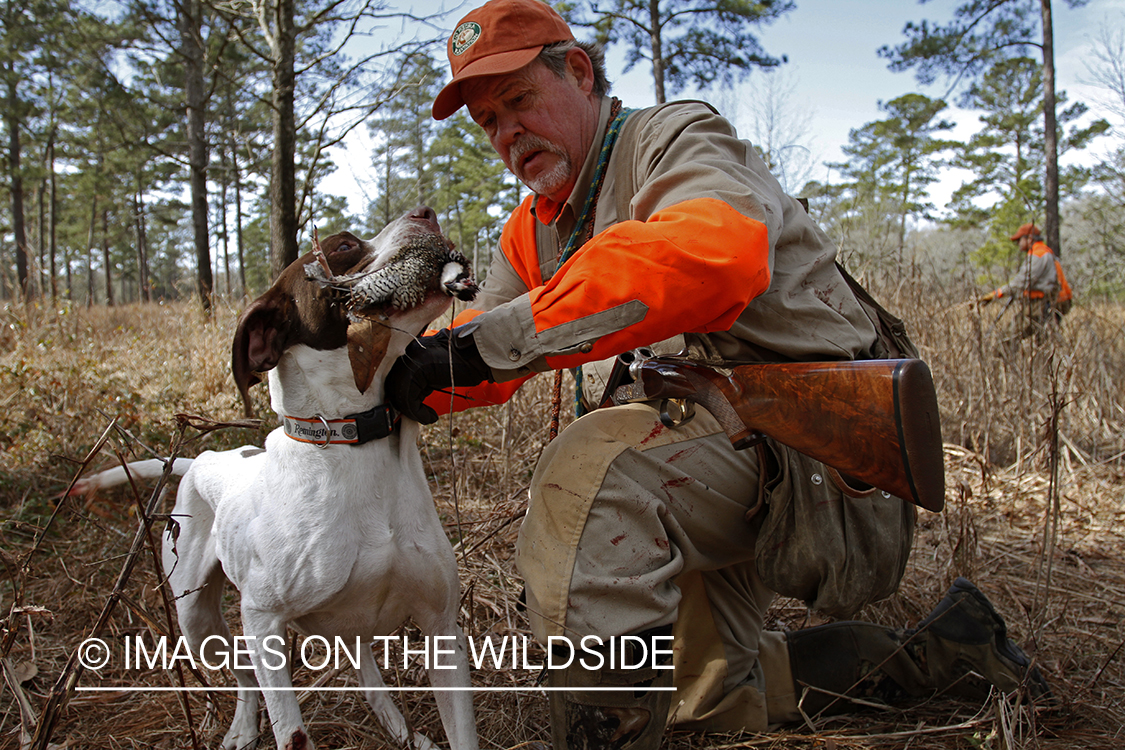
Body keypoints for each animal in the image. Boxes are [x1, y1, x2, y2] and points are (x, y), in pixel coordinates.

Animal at [74, 208, 479, 750]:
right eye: (344, 245)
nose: (426, 214)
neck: (355, 440)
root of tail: (203, 458)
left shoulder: (442, 627)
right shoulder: (262, 620)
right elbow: (289, 728)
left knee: (368, 674)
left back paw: (400, 729)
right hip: (197, 619)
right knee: (244, 677)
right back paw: (243, 728)